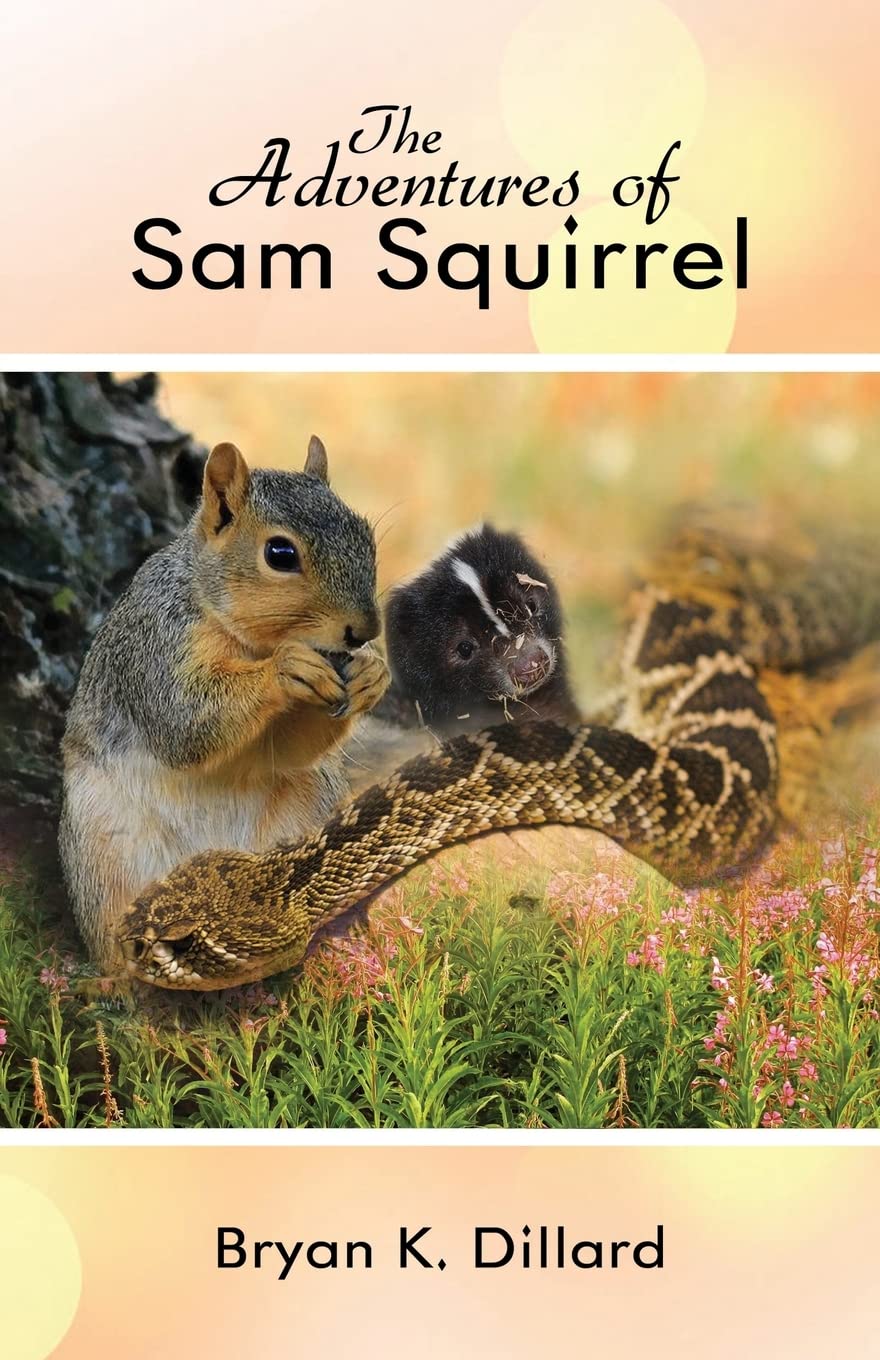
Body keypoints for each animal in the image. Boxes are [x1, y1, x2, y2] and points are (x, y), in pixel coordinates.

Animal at [59, 437, 390, 972]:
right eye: (280, 553)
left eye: (366, 536)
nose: (365, 632)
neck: (249, 642)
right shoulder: (158, 644)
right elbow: (183, 722)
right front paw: (285, 669)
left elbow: (289, 749)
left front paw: (372, 674)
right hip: (104, 860)